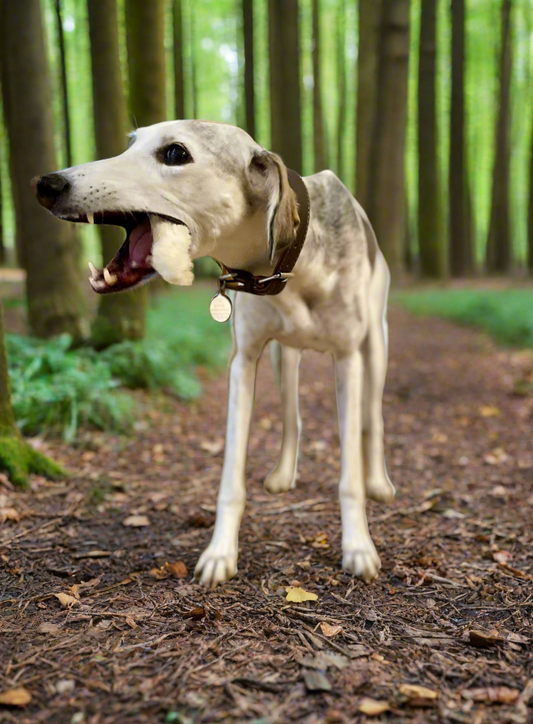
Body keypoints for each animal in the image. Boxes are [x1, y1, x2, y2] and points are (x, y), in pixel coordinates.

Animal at [31, 120, 392, 588]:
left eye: (175, 153)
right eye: (131, 143)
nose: (47, 184)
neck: (293, 261)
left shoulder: (347, 359)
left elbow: (349, 476)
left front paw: (358, 547)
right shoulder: (244, 362)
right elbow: (230, 479)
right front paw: (221, 553)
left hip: (375, 346)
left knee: (373, 419)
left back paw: (379, 481)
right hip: (283, 357)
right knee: (291, 412)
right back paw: (283, 474)